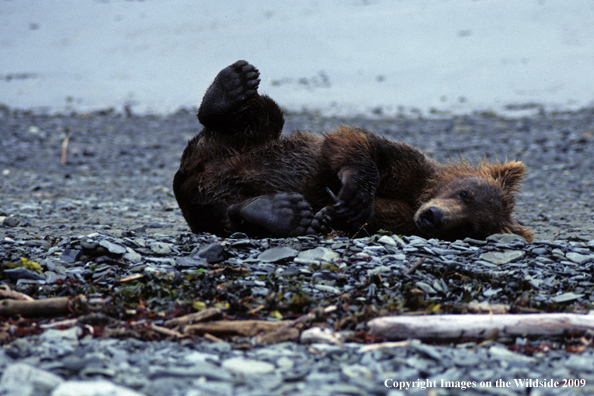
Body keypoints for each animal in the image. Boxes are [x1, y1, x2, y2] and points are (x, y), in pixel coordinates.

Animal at [172, 60, 532, 243]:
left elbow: (368, 218)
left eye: (470, 228)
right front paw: (355, 193)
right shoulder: (407, 163)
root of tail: (192, 179)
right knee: (261, 115)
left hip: (211, 201)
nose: (434, 216)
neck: (418, 194)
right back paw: (231, 86)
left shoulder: (401, 219)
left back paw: (279, 212)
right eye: (464, 193)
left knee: (226, 216)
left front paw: (329, 215)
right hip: (229, 147)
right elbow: (354, 143)